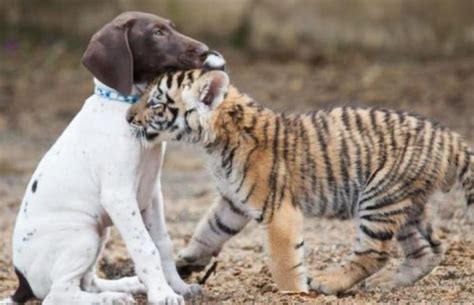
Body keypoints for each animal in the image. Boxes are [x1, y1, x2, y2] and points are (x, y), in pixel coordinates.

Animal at [0, 11, 215, 304]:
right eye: (156, 33)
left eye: (171, 27)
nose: (205, 52)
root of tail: (22, 281)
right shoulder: (119, 196)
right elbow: (145, 247)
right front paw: (162, 294)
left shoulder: (152, 193)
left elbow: (163, 244)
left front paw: (178, 287)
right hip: (84, 235)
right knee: (58, 294)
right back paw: (110, 298)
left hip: (100, 233)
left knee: (87, 282)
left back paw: (124, 287)